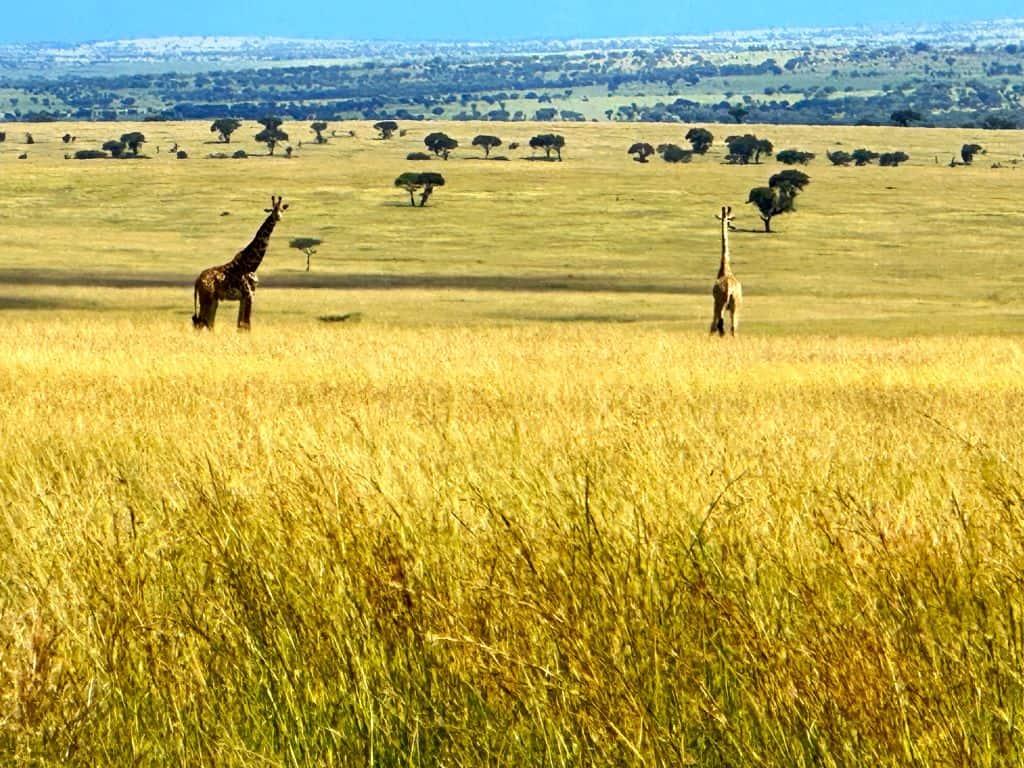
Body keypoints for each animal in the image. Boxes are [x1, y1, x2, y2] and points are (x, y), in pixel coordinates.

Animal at [192, 195, 288, 331]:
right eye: (273, 210)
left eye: (282, 209)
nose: (278, 217)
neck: (251, 264)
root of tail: (197, 281)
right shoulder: (249, 295)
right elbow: (246, 326)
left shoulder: (245, 297)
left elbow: (240, 325)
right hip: (206, 298)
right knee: (200, 323)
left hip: (213, 300)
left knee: (207, 323)